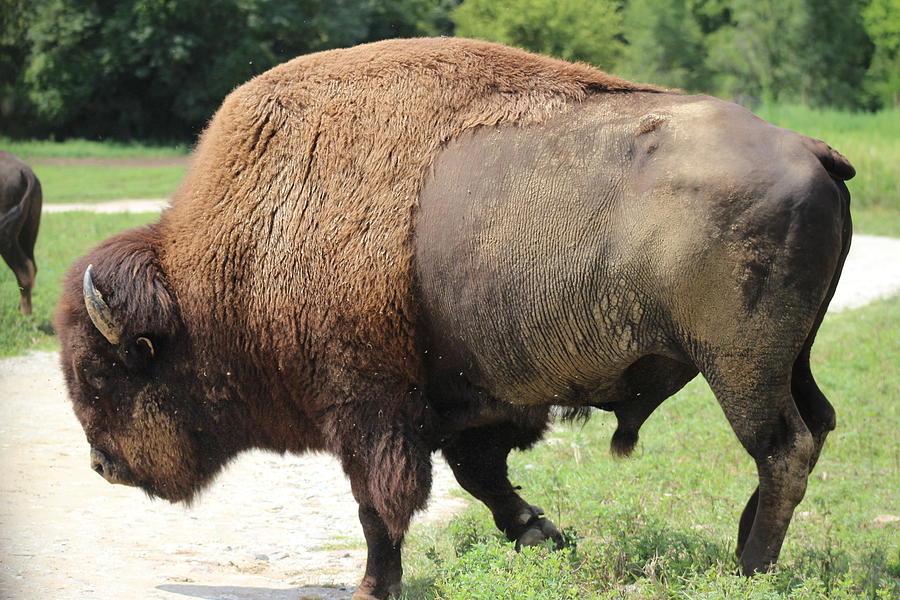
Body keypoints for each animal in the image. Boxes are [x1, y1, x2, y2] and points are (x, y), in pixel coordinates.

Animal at [0, 151, 41, 314]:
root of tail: (26, 172)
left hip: (6, 237)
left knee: (24, 270)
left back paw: (25, 315)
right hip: (28, 232)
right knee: (31, 267)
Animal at [52, 38, 856, 600]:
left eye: (102, 372)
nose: (102, 465)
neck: (253, 237)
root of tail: (810, 149)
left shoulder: (369, 410)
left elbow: (381, 504)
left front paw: (372, 587)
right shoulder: (467, 403)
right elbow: (479, 477)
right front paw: (545, 537)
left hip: (739, 366)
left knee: (782, 447)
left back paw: (749, 568)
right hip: (793, 357)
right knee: (813, 427)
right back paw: (745, 544)